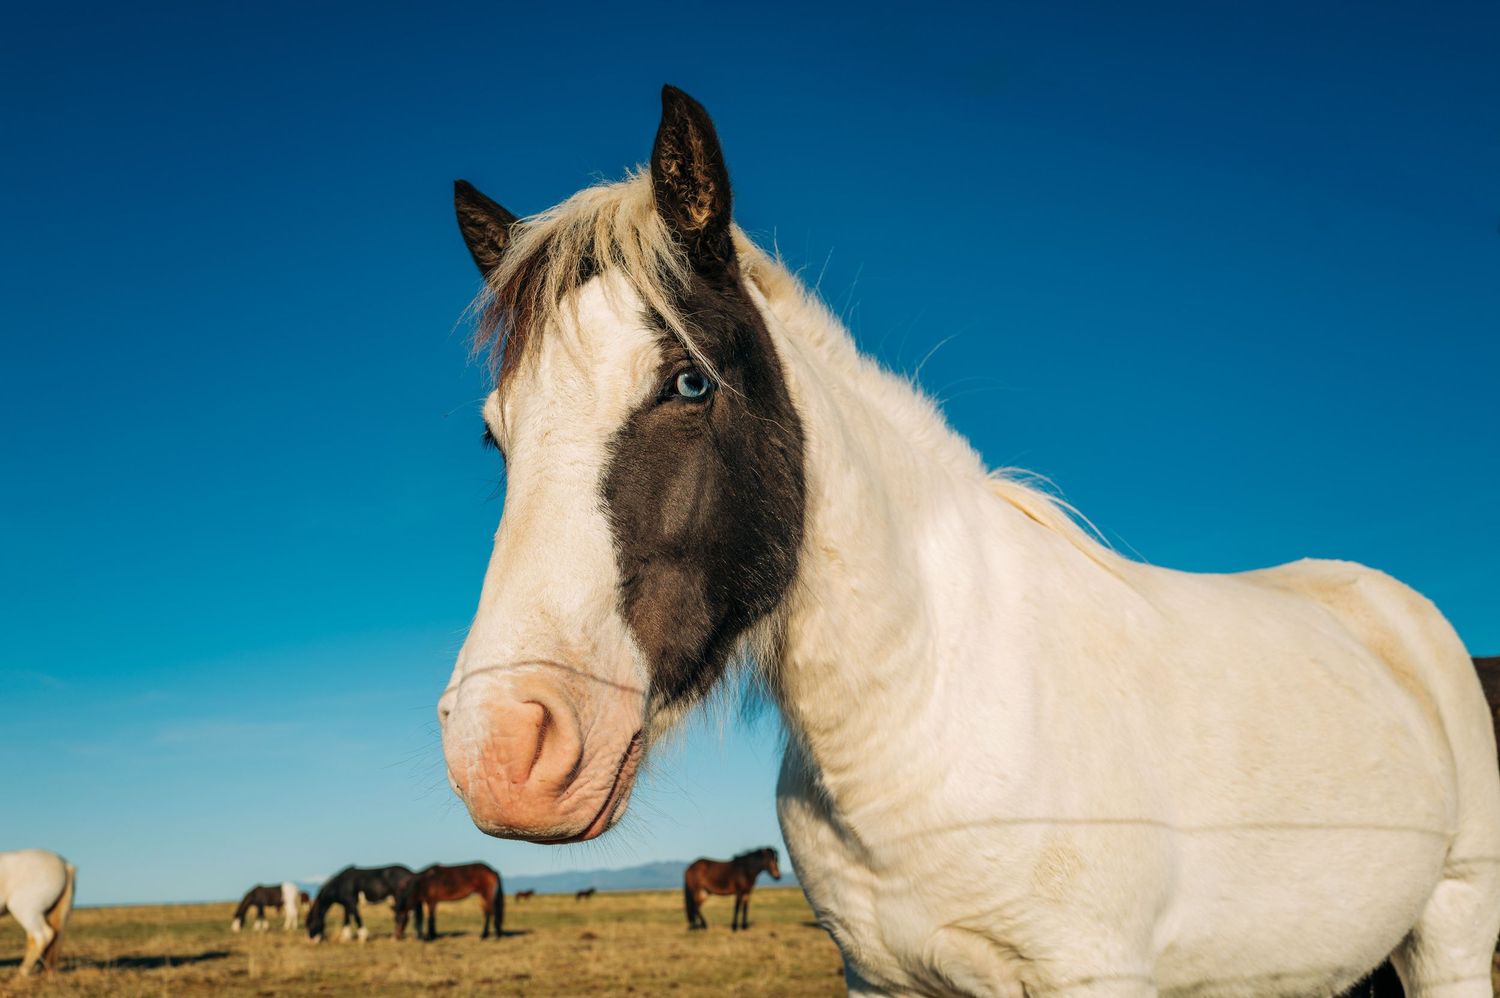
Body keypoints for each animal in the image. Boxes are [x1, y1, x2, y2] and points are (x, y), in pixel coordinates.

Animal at [436, 85, 1500, 996]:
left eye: (690, 383)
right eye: (494, 432)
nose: (503, 748)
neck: (924, 707)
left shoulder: (1092, 970)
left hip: (1450, 928)